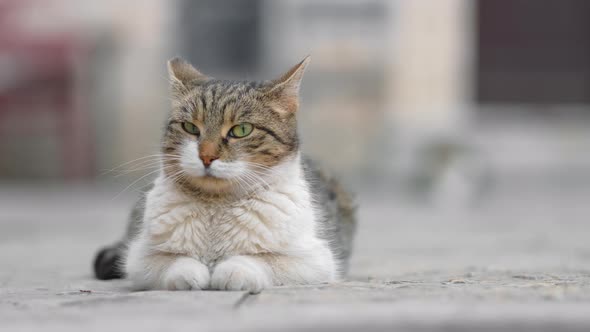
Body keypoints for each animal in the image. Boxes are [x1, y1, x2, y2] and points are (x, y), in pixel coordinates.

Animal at [95, 56, 358, 290]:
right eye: (190, 128)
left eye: (241, 130)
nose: (206, 156)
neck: (217, 207)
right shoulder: (139, 257)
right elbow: (174, 261)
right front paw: (191, 273)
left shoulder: (316, 259)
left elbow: (263, 259)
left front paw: (233, 270)